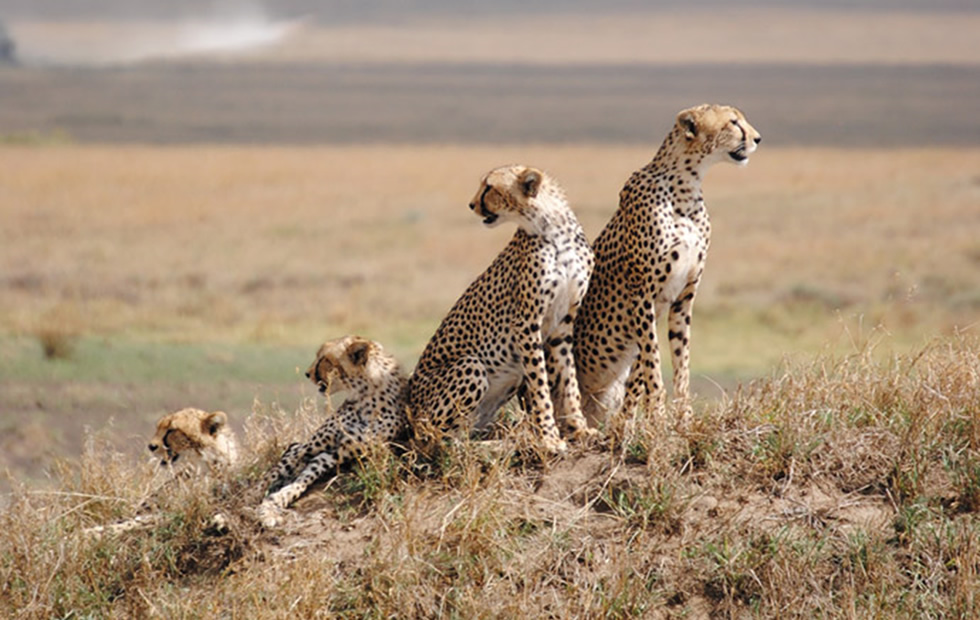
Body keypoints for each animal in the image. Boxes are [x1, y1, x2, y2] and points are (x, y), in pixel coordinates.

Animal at [256, 334, 410, 528]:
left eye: (324, 359)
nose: (307, 373)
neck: (366, 393)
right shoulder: (314, 446)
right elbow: (271, 474)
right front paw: (251, 498)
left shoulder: (337, 453)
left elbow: (305, 477)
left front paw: (279, 499)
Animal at [408, 165, 592, 456]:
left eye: (489, 187)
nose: (471, 204)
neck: (553, 229)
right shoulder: (526, 323)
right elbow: (541, 386)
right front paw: (550, 438)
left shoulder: (563, 324)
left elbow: (568, 379)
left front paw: (580, 429)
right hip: (471, 365)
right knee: (437, 442)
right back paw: (501, 445)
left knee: (457, 437)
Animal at [580, 104, 760, 426]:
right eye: (733, 122)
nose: (758, 138)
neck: (686, 185)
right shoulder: (642, 294)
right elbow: (652, 359)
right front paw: (657, 414)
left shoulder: (683, 298)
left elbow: (678, 359)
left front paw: (680, 415)